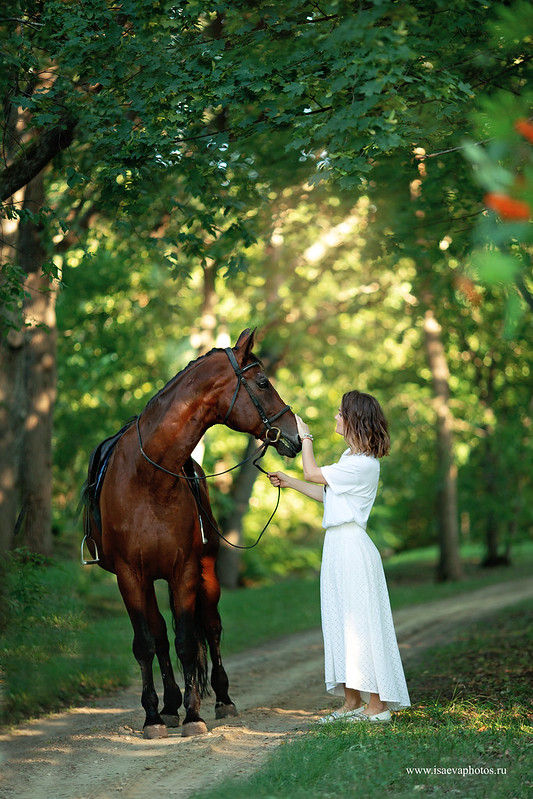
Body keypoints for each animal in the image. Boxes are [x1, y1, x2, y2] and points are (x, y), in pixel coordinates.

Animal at [82, 330, 300, 736]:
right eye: (263, 382)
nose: (294, 435)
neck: (148, 477)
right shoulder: (129, 576)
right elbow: (146, 643)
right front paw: (153, 716)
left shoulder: (183, 570)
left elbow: (187, 640)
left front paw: (194, 715)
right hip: (149, 580)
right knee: (159, 637)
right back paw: (168, 707)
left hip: (205, 572)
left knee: (211, 628)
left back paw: (222, 699)